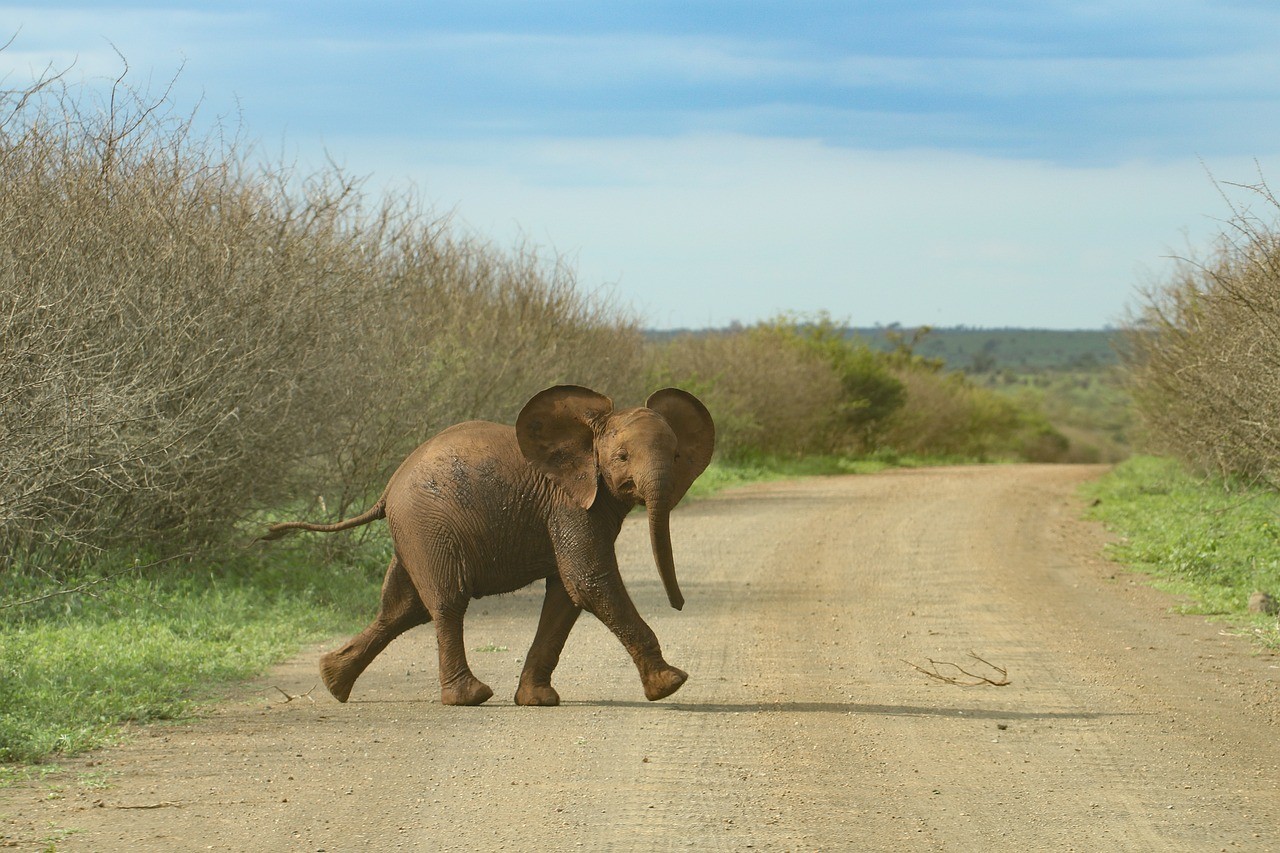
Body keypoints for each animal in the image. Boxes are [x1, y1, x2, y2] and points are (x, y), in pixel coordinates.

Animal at [261, 384, 716, 701]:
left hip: (413, 533)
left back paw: (332, 681)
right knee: (445, 601)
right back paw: (470, 697)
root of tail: (386, 491)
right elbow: (589, 582)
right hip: (428, 527)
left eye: (677, 457)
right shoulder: (570, 503)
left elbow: (566, 595)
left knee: (401, 610)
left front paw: (537, 701)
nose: (679, 605)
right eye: (621, 458)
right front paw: (672, 685)